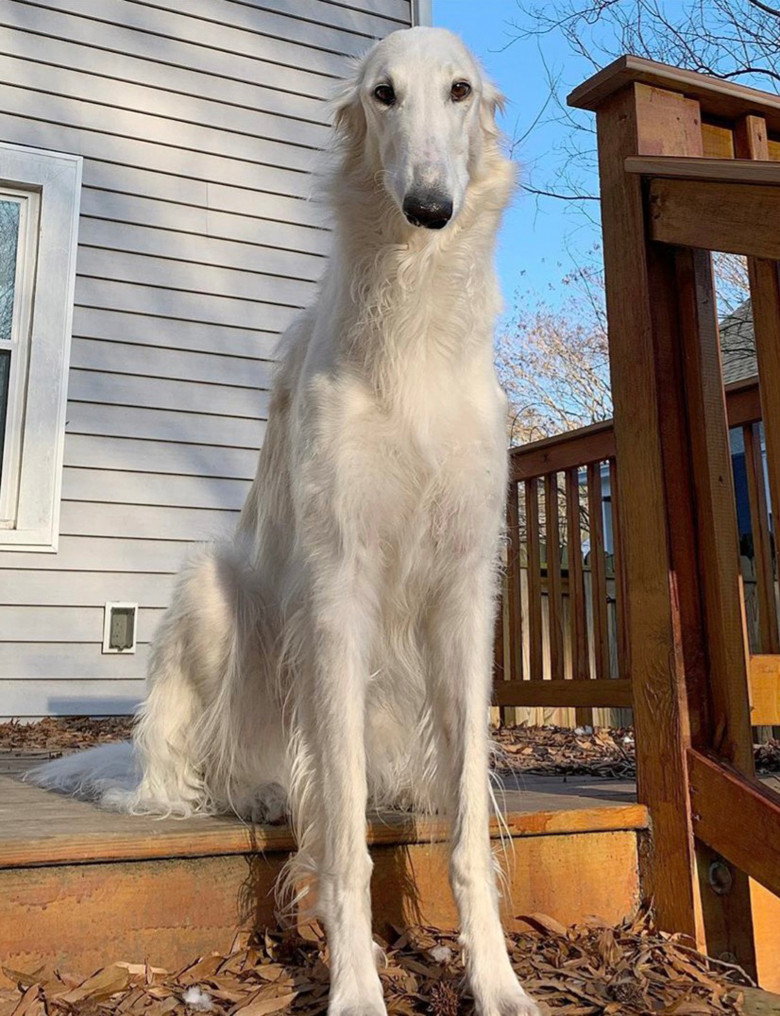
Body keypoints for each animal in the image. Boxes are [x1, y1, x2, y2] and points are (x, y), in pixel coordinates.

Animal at [33, 27, 540, 1016]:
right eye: (383, 93)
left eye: (460, 91)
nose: (431, 207)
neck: (413, 322)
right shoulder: (337, 591)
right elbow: (341, 848)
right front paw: (356, 989)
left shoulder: (467, 589)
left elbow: (466, 832)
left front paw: (496, 982)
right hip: (212, 597)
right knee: (191, 776)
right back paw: (253, 792)